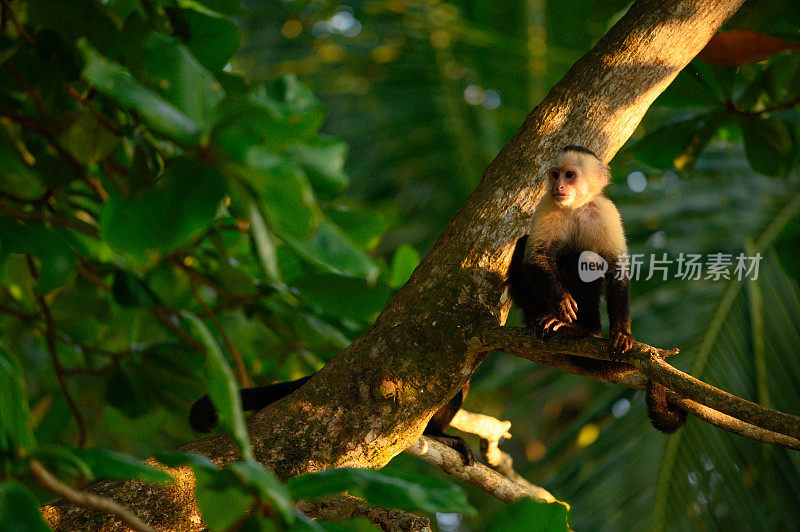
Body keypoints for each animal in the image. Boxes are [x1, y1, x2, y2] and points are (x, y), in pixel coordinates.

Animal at [512, 145, 688, 432]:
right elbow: (534, 258)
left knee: (583, 259)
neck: (576, 207)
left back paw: (586, 328)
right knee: (525, 247)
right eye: (555, 174)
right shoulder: (547, 205)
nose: (558, 185)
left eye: (570, 175)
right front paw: (561, 301)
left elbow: (616, 269)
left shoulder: (607, 212)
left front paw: (622, 334)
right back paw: (541, 318)